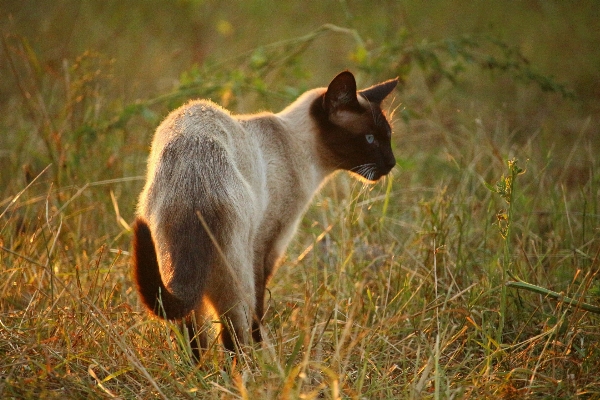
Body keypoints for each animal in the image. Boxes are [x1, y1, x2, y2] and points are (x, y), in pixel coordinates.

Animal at [134, 70, 400, 354]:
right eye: (370, 139)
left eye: (388, 137)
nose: (391, 163)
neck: (299, 148)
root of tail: (193, 179)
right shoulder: (268, 243)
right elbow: (259, 308)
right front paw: (263, 345)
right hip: (237, 275)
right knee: (233, 334)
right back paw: (251, 364)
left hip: (172, 265)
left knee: (192, 332)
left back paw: (199, 366)